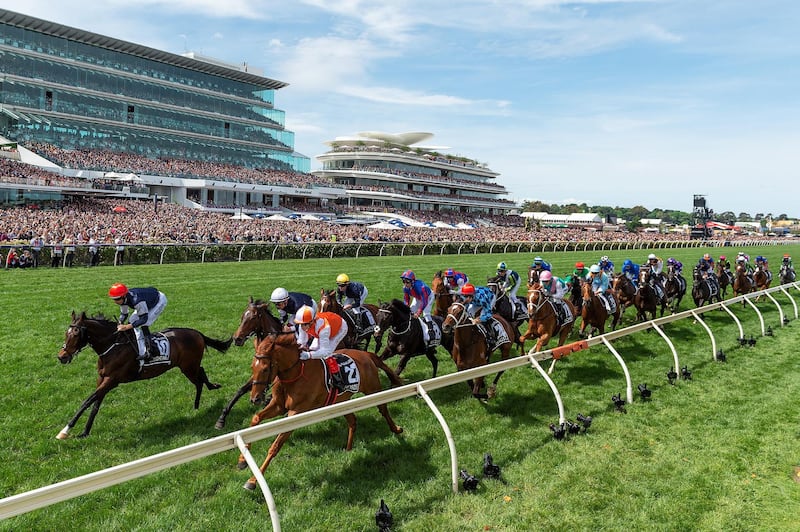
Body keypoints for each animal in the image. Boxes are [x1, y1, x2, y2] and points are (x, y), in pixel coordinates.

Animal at [55, 310, 231, 438]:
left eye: (76, 333)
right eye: (66, 333)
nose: (61, 356)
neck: (113, 346)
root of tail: (197, 333)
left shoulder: (112, 380)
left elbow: (87, 401)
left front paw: (65, 430)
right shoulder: (102, 379)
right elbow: (95, 404)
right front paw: (85, 432)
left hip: (188, 367)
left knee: (199, 379)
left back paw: (202, 398)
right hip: (189, 366)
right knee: (200, 375)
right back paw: (204, 396)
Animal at [216, 298, 284, 430]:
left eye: (253, 318)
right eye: (242, 316)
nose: (237, 338)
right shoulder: (258, 372)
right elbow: (241, 390)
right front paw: (222, 418)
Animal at [236, 332, 400, 490]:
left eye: (264, 369)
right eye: (252, 367)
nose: (255, 399)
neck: (295, 374)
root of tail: (366, 355)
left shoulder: (296, 413)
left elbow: (275, 446)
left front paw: (252, 481)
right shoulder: (278, 406)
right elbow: (256, 418)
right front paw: (242, 460)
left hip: (373, 390)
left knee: (383, 410)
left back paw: (396, 429)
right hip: (341, 402)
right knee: (353, 420)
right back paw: (348, 448)